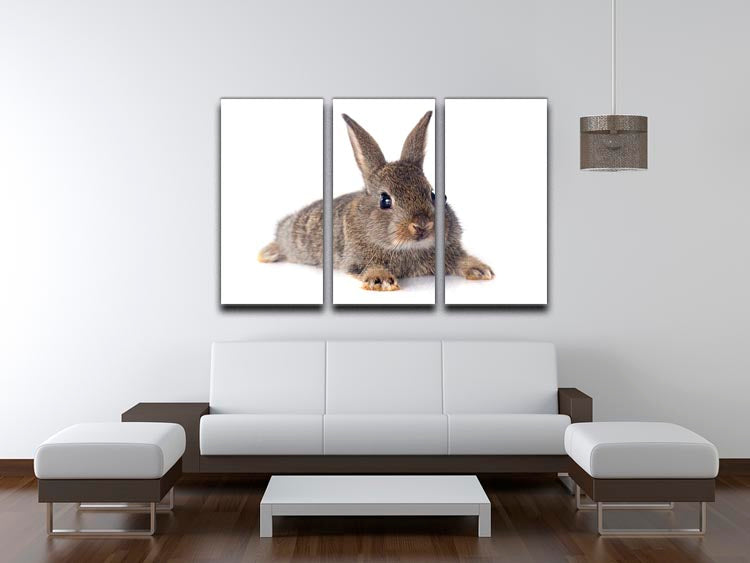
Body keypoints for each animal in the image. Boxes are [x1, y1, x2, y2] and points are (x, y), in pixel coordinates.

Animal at [258, 111, 494, 291]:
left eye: (435, 194)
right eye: (385, 200)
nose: (422, 225)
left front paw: (480, 270)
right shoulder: (357, 259)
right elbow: (368, 268)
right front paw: (382, 281)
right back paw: (266, 254)